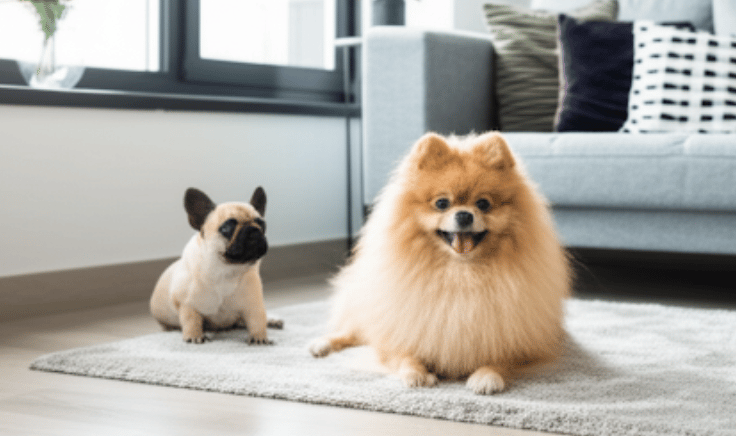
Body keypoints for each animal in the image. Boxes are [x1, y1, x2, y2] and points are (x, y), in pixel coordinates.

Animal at [150, 187, 281, 344]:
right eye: (227, 228)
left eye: (262, 224)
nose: (254, 230)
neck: (226, 270)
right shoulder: (187, 304)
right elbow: (191, 320)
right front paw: (194, 335)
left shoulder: (253, 305)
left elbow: (257, 320)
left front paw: (259, 337)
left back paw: (273, 320)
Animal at [309, 132, 571, 394]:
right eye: (442, 203)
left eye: (483, 204)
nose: (464, 215)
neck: (461, 273)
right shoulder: (398, 331)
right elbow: (403, 354)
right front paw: (415, 373)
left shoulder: (520, 342)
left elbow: (503, 358)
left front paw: (487, 375)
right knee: (351, 330)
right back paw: (320, 344)